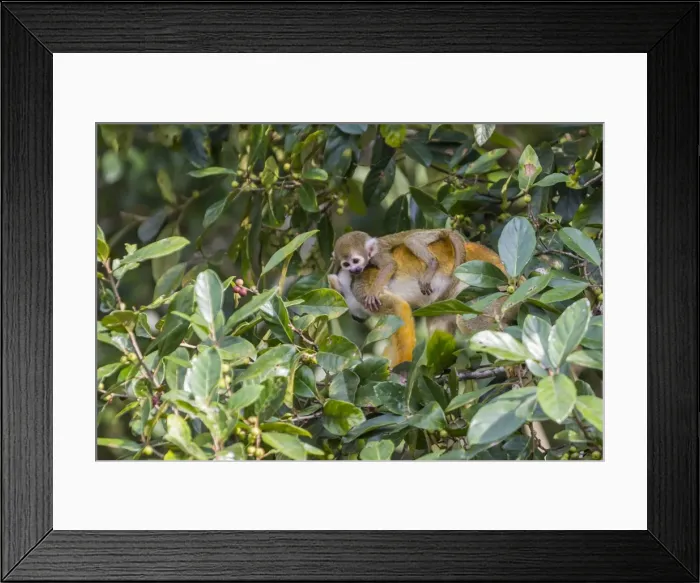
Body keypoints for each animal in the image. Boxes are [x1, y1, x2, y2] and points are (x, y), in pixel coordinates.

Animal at [332, 229, 466, 312]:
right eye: (346, 264)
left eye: (355, 261)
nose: (354, 269)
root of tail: (443, 230)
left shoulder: (377, 254)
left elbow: (390, 265)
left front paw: (373, 292)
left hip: (430, 235)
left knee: (410, 239)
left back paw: (432, 263)